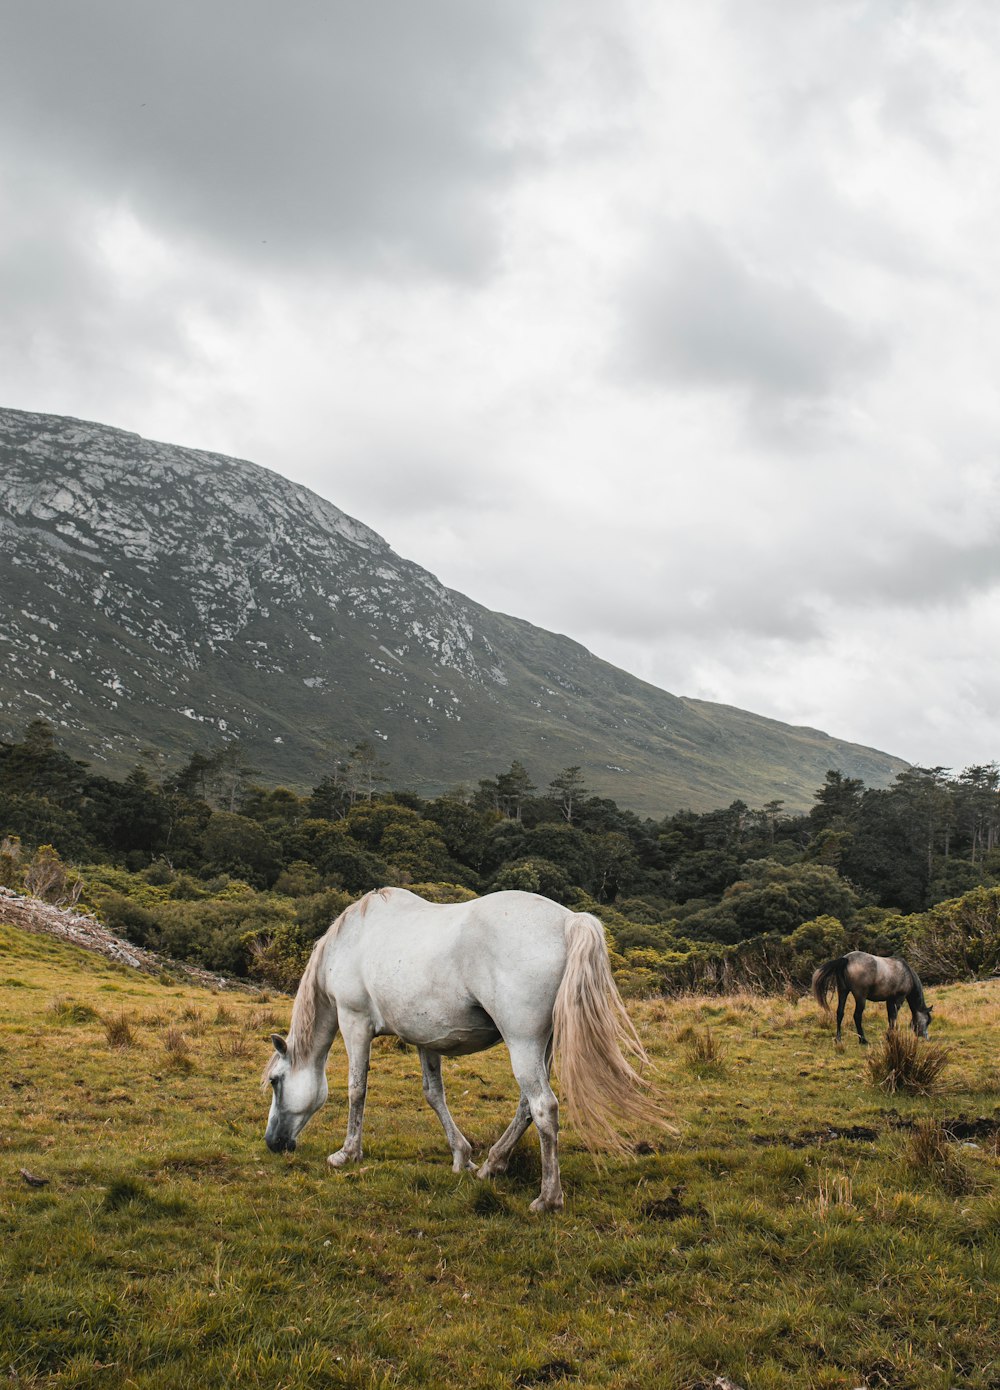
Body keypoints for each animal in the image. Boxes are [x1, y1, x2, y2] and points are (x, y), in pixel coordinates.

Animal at [260, 889, 664, 1206]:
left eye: (276, 1081)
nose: (272, 1142)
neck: (352, 939)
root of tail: (568, 921)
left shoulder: (354, 1021)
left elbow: (357, 1089)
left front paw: (347, 1153)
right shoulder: (425, 1038)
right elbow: (433, 1094)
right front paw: (462, 1156)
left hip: (522, 1042)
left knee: (543, 1107)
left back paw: (548, 1198)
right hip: (542, 1045)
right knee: (527, 1106)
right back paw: (492, 1165)